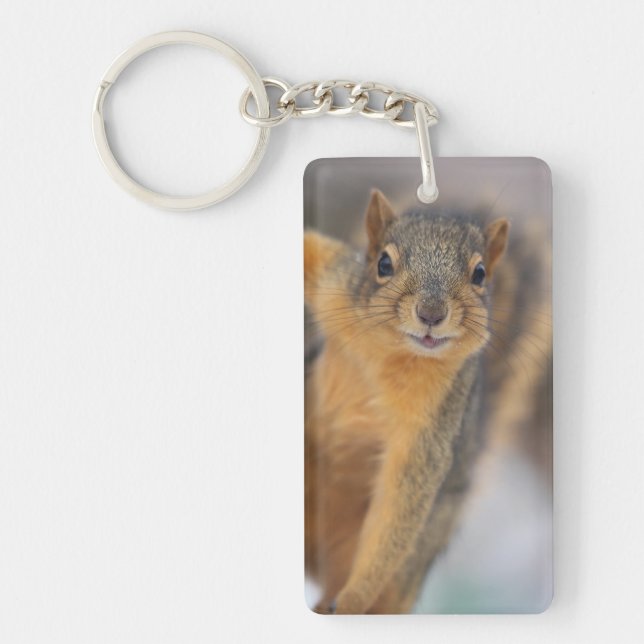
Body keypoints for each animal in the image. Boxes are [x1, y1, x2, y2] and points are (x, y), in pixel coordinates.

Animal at [304, 189, 510, 614]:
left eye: (480, 274)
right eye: (383, 263)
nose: (431, 314)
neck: (392, 352)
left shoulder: (431, 429)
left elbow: (398, 509)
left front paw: (352, 599)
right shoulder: (337, 284)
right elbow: (310, 251)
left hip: (409, 566)